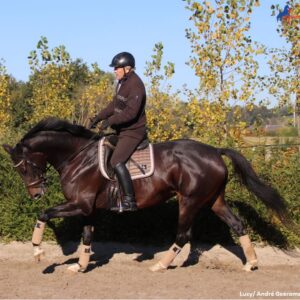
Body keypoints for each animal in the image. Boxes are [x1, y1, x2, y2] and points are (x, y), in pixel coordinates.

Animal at [1, 116, 288, 272]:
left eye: (24, 167)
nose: (36, 194)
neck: (78, 157)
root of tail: (215, 151)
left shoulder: (79, 204)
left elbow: (44, 214)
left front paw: (38, 252)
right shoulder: (88, 208)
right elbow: (87, 236)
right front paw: (79, 266)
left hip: (190, 201)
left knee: (183, 235)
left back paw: (160, 265)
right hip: (214, 200)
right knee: (238, 225)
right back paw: (251, 263)